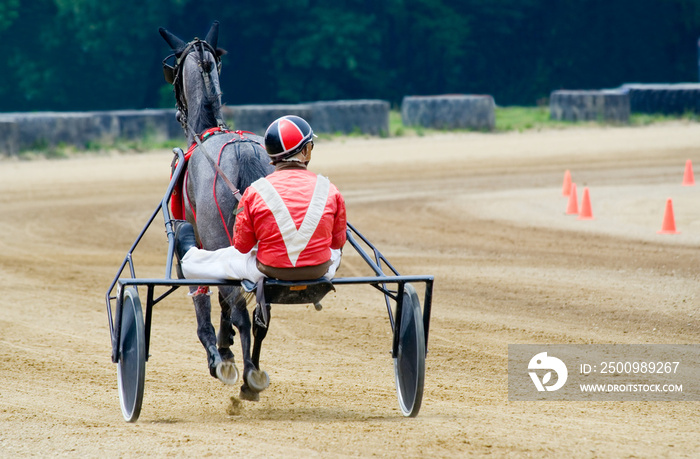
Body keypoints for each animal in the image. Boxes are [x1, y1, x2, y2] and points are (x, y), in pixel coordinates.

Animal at [160, 22, 274, 402]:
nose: (176, 111)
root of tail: (243, 153)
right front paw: (225, 346)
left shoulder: (192, 242)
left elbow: (204, 299)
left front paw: (218, 356)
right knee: (259, 314)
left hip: (214, 235)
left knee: (239, 309)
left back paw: (247, 376)